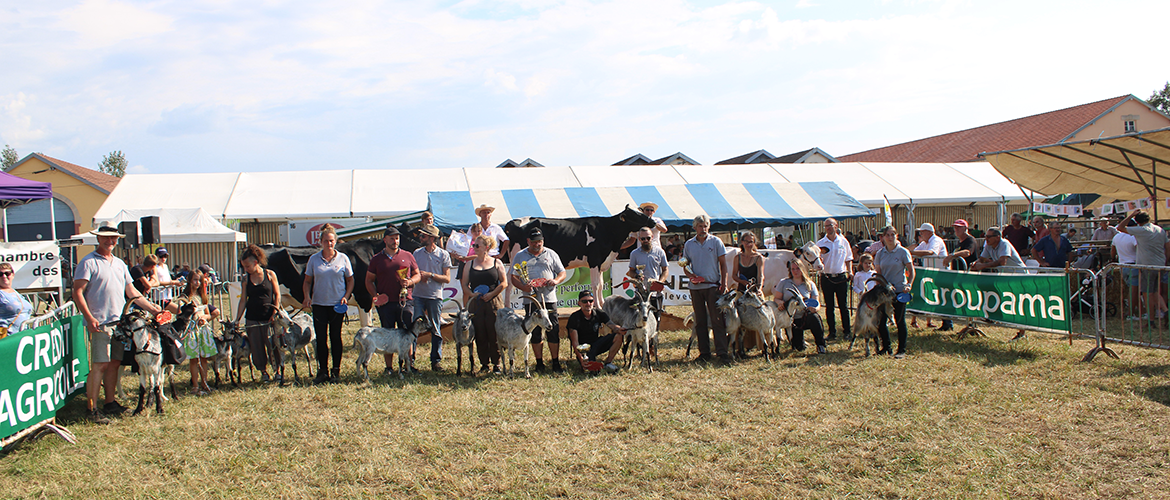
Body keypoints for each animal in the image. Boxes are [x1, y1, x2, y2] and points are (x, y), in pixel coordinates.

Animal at [503, 206, 659, 306]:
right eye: (636, 215)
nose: (653, 221)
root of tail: (513, 222)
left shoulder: (601, 262)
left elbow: (601, 284)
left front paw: (603, 303)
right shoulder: (594, 260)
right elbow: (596, 284)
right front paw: (598, 306)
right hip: (516, 259)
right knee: (510, 282)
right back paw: (508, 307)